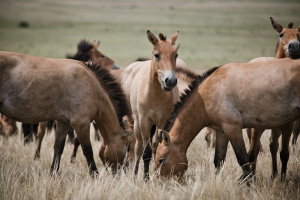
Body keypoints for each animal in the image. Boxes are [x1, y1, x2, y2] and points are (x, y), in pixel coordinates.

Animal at [0, 51, 134, 175]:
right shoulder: (81, 123)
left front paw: (53, 173)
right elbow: (87, 150)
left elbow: (58, 148)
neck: (92, 85)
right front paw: (94, 175)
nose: (126, 172)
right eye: (128, 148)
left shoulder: (63, 122)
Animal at [154, 57, 300, 180]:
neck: (206, 96)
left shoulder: (232, 129)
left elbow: (242, 159)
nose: (158, 181)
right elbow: (218, 160)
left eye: (161, 159)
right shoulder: (221, 131)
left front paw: (248, 185)